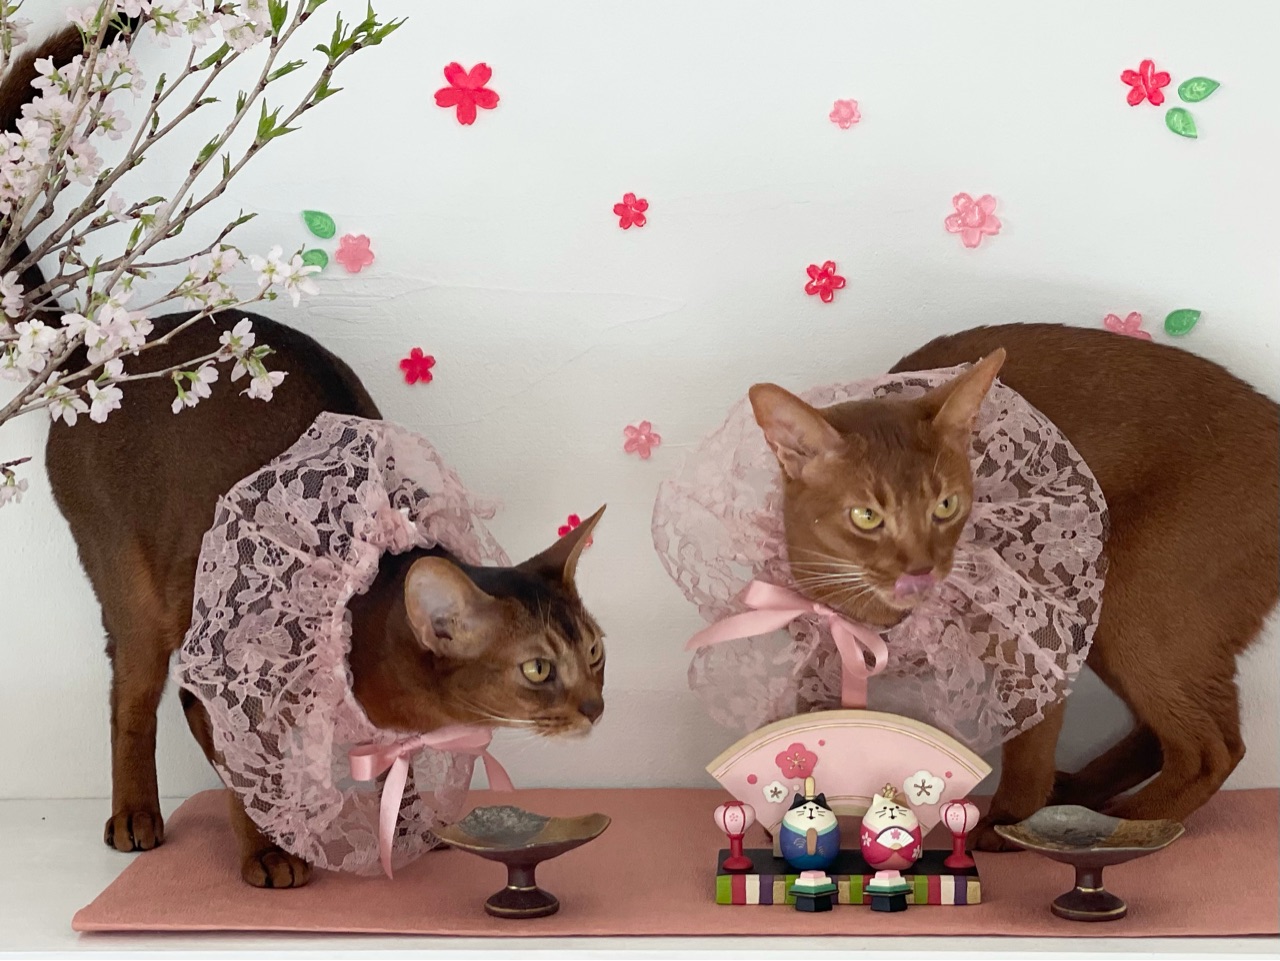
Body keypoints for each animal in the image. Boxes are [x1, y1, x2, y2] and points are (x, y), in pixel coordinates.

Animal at [6, 29, 606, 888]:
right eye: (537, 669)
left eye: (594, 651)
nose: (596, 706)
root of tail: (98, 356)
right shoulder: (219, 683)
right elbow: (242, 773)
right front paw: (270, 848)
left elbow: (383, 772)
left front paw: (403, 823)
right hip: (135, 590)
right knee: (129, 694)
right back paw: (135, 815)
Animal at [749, 323, 1279, 850]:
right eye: (866, 516)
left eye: (946, 505)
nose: (921, 567)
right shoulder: (824, 649)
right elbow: (812, 737)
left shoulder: (1040, 639)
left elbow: (1028, 747)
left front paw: (1006, 823)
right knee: (1163, 735)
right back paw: (1080, 793)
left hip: (1130, 609)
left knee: (1214, 749)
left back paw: (1124, 827)